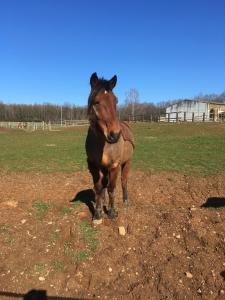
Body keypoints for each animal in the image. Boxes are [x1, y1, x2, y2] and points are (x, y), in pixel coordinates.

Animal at [84, 72, 134, 223]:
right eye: (96, 101)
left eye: (115, 101)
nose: (115, 135)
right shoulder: (94, 166)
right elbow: (99, 187)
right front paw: (98, 213)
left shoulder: (114, 166)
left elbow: (112, 188)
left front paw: (112, 212)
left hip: (127, 163)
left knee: (124, 181)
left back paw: (125, 200)